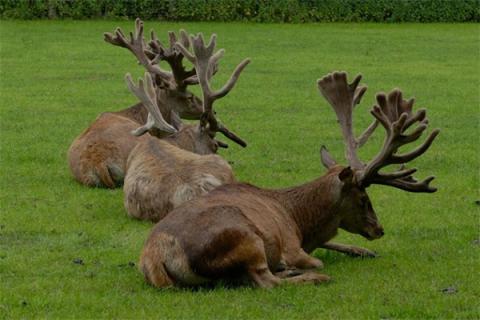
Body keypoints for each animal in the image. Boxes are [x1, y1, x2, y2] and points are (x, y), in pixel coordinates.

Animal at [138, 71, 438, 288]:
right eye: (364, 198)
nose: (379, 229)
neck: (299, 217)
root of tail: (156, 257)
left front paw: (362, 250)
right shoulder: (293, 244)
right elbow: (315, 259)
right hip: (244, 239)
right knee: (265, 280)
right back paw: (307, 275)